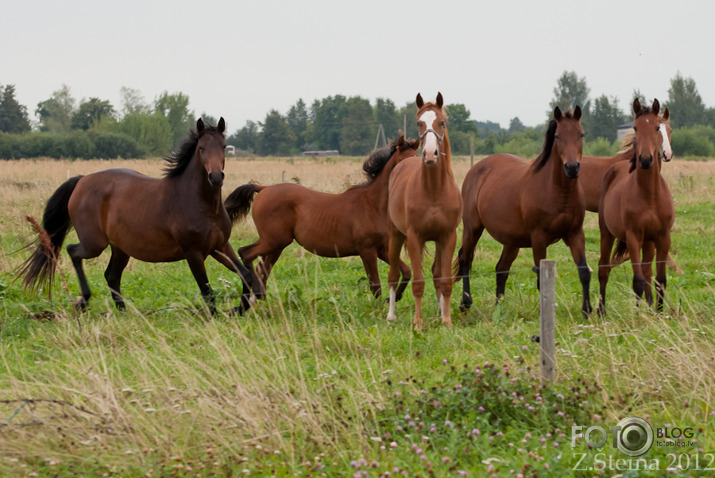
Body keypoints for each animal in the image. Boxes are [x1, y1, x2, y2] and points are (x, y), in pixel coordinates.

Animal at [17, 118, 252, 316]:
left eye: (223, 146)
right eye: (201, 148)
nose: (216, 177)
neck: (202, 205)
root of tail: (82, 180)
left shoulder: (219, 246)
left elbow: (246, 275)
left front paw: (239, 308)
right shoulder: (194, 253)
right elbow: (207, 292)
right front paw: (217, 317)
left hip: (120, 248)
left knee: (111, 276)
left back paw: (124, 313)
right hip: (94, 244)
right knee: (73, 251)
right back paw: (84, 300)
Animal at [221, 134, 416, 302]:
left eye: (416, 157)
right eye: (402, 160)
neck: (373, 204)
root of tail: (263, 188)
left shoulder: (382, 249)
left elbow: (407, 271)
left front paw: (394, 298)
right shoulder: (367, 250)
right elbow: (375, 285)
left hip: (277, 244)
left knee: (263, 268)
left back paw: (259, 299)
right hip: (274, 240)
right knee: (245, 253)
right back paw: (254, 293)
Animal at [386, 94, 464, 332]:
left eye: (442, 123)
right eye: (419, 123)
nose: (430, 154)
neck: (434, 191)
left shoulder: (447, 237)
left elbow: (444, 280)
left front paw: (446, 320)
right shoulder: (414, 238)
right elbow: (418, 283)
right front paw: (418, 324)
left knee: (437, 274)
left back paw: (440, 311)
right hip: (395, 236)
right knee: (393, 275)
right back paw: (391, 316)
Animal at [458, 106, 592, 320]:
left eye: (581, 134)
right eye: (557, 136)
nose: (572, 168)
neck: (558, 192)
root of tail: (477, 168)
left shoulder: (575, 234)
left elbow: (584, 272)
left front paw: (588, 311)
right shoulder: (539, 238)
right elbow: (540, 279)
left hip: (511, 241)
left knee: (501, 269)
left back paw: (499, 309)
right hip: (472, 228)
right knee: (466, 259)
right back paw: (466, 303)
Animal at [600, 98, 676, 314]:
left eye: (659, 127)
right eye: (635, 127)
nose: (645, 159)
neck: (650, 195)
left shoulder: (663, 237)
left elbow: (660, 280)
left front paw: (658, 313)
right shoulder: (633, 237)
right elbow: (638, 281)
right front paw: (638, 314)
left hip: (648, 242)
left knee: (647, 271)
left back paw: (649, 306)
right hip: (607, 234)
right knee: (603, 269)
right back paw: (600, 311)